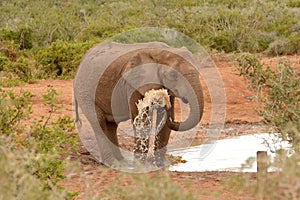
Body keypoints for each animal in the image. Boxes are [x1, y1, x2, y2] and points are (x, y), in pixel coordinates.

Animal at [73, 41, 204, 168]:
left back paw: (122, 163)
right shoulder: (132, 84)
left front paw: (163, 164)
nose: (167, 108)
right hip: (85, 91)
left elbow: (164, 124)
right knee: (98, 122)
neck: (160, 52)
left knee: (111, 125)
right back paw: (113, 164)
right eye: (173, 75)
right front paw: (140, 165)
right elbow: (143, 120)